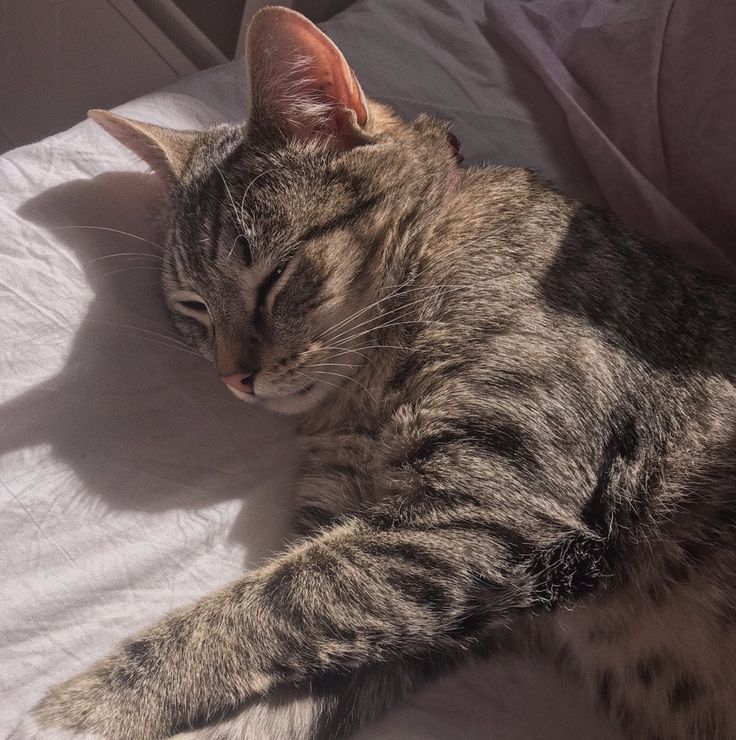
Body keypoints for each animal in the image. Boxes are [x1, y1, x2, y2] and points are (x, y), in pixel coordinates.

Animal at [37, 5, 736, 740]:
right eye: (192, 307)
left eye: (273, 278)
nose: (232, 378)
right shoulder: (405, 582)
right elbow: (276, 688)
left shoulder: (486, 514)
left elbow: (264, 605)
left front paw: (79, 711)